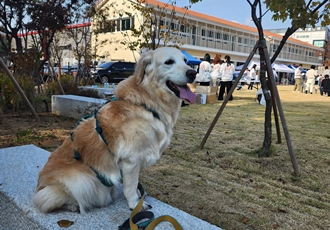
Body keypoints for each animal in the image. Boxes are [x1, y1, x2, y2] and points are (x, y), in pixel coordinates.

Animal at [31, 47, 196, 214]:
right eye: (169, 62)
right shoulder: (131, 160)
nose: (193, 73)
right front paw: (136, 204)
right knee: (49, 201)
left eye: (185, 61)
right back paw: (73, 205)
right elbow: (130, 187)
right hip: (82, 181)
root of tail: (39, 186)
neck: (146, 103)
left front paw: (139, 196)